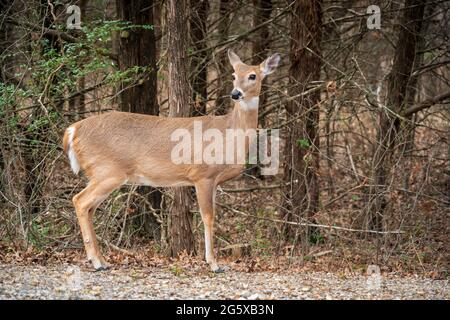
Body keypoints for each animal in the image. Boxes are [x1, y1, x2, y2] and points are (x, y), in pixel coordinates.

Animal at [62, 49, 282, 272]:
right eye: (234, 75)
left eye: (253, 75)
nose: (235, 93)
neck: (228, 133)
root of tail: (72, 130)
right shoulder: (202, 175)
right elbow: (208, 217)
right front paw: (214, 263)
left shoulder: (213, 181)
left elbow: (212, 215)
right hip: (107, 171)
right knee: (80, 201)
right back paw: (97, 261)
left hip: (102, 173)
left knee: (89, 207)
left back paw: (102, 260)